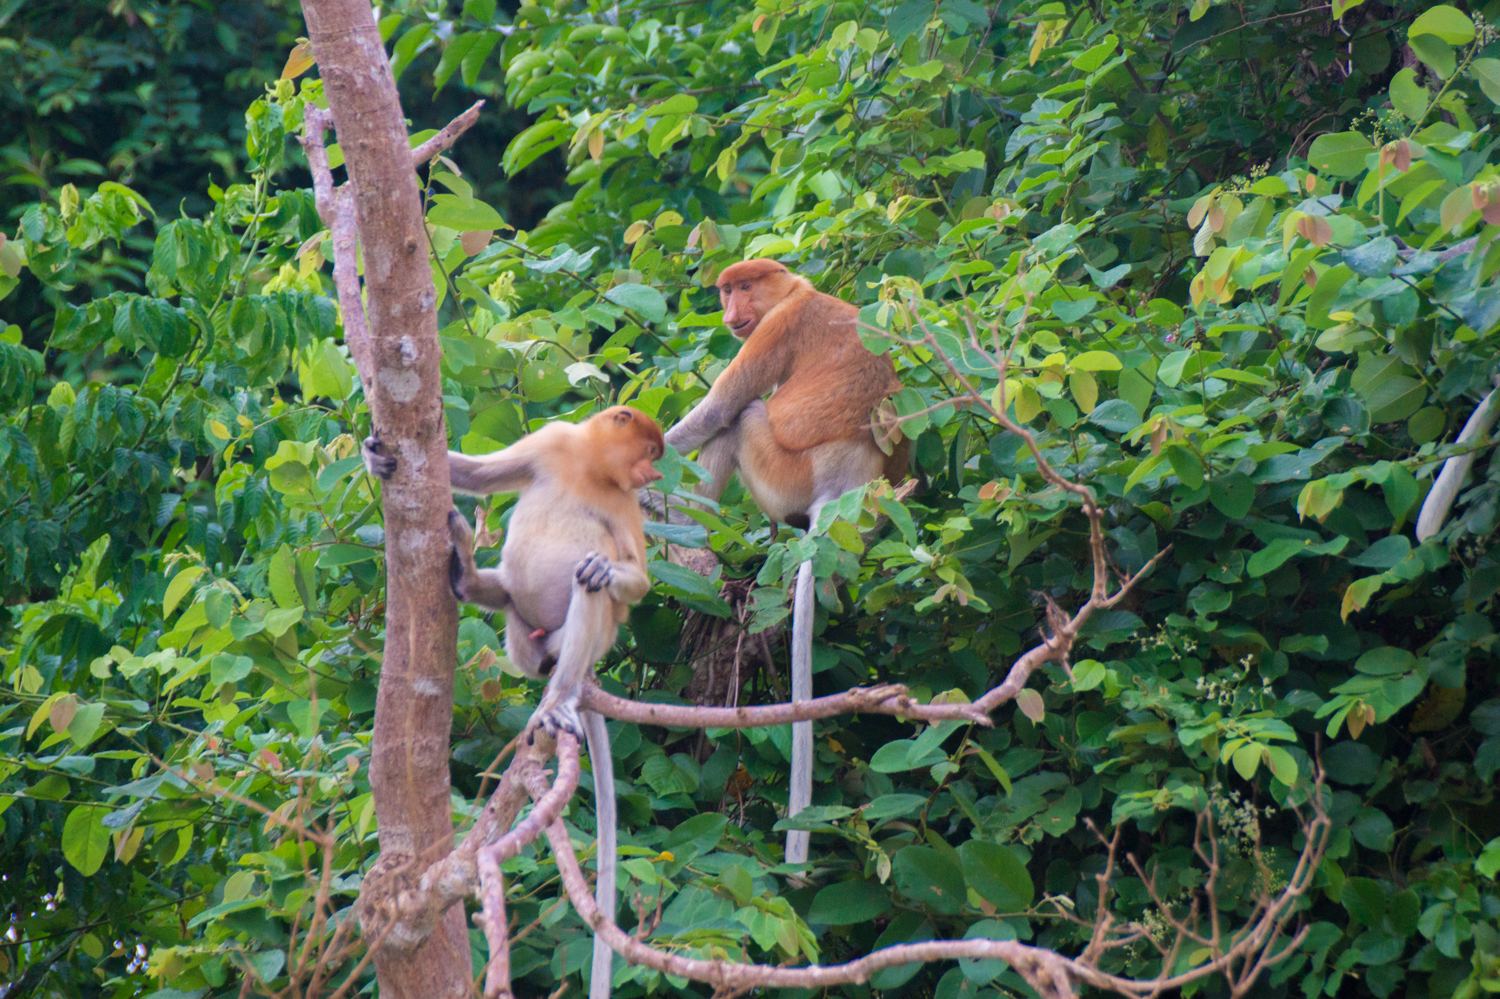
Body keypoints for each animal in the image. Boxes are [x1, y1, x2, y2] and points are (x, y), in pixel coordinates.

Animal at [363, 402, 663, 996]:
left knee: (590, 590)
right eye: (648, 452)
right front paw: (374, 453)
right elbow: (480, 475)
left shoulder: (622, 503)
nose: (651, 475)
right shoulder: (553, 444)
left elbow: (636, 580)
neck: (592, 470)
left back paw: (560, 697)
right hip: (522, 631)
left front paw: (611, 570)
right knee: (507, 595)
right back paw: (466, 576)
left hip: (587, 640)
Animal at [660, 256, 906, 864]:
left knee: (742, 416)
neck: (796, 292)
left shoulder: (774, 330)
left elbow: (720, 409)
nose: (731, 312)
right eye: (725, 291)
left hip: (777, 470)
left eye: (744, 287)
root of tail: (839, 491)